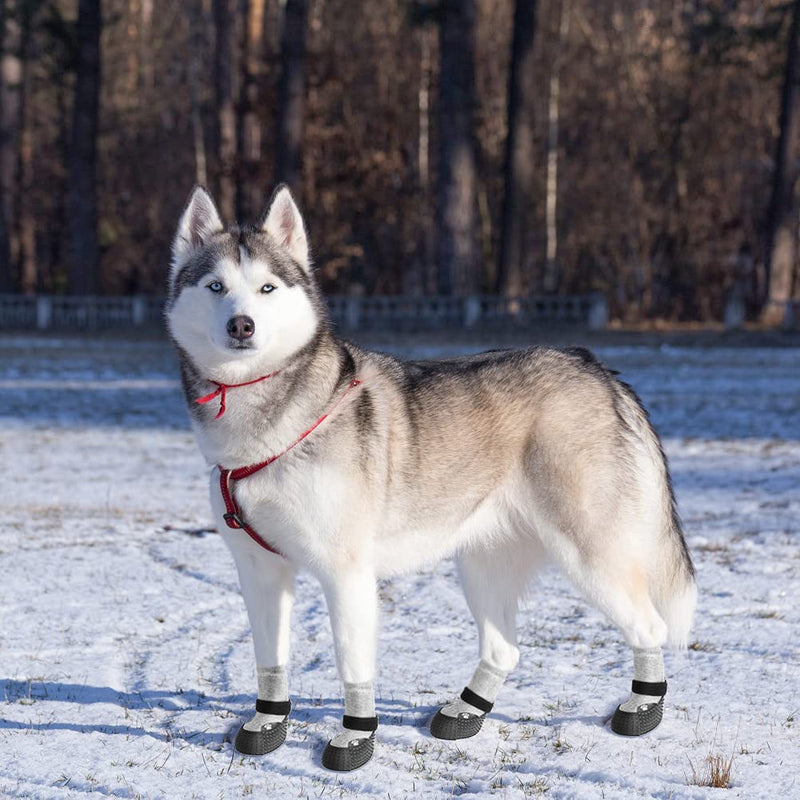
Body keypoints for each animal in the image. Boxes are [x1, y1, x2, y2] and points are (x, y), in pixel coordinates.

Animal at [166, 184, 696, 772]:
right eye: (216, 287)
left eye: (267, 288)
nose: (242, 325)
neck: (265, 423)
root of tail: (597, 369)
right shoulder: (259, 570)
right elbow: (269, 657)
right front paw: (267, 722)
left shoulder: (346, 573)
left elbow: (352, 664)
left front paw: (355, 739)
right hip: (482, 561)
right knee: (504, 647)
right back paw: (466, 712)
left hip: (591, 553)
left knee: (650, 626)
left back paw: (641, 710)